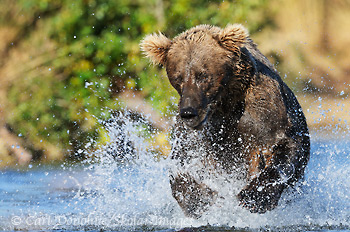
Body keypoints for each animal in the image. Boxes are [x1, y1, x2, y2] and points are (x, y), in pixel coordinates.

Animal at [139, 24, 308, 218]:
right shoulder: (199, 133)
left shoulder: (263, 113)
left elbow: (283, 148)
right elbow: (182, 163)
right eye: (178, 77)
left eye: (203, 75)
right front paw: (201, 199)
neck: (226, 103)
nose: (189, 112)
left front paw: (254, 196)